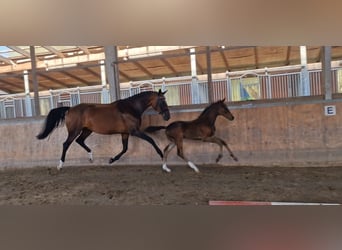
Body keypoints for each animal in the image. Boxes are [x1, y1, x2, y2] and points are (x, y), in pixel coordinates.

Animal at [36, 90, 170, 170]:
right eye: (162, 101)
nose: (167, 116)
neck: (131, 108)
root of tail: (70, 109)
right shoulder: (134, 131)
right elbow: (151, 140)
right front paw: (161, 156)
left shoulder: (125, 133)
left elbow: (125, 148)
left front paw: (111, 160)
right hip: (74, 131)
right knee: (66, 144)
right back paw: (60, 165)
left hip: (87, 130)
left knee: (80, 141)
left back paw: (91, 158)